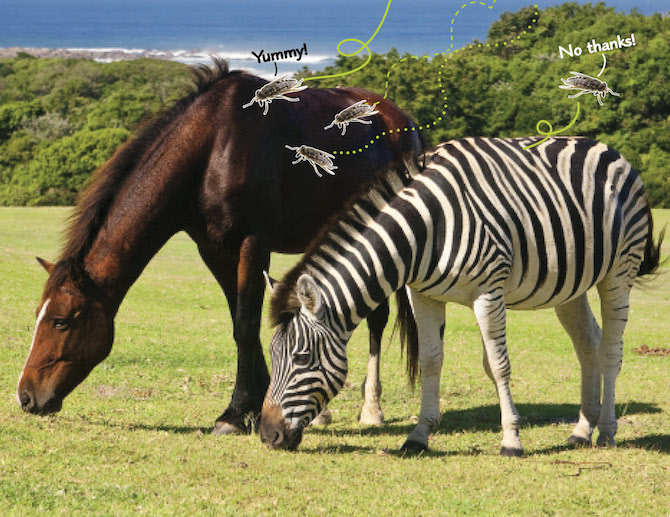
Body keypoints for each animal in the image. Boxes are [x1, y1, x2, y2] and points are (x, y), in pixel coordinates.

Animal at [17, 58, 420, 434]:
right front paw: (255, 405)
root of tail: (401, 121)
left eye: (61, 321)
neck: (211, 150)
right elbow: (237, 322)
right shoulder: (214, 251)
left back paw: (371, 408)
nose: (26, 396)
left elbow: (246, 324)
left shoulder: (252, 245)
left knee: (377, 319)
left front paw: (235, 414)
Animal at [260, 135, 664, 454]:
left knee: (611, 349)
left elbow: (499, 366)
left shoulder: (489, 292)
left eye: (302, 358)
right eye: (272, 355)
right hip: (569, 287)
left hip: (618, 271)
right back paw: (582, 430)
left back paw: (607, 432)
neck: (425, 229)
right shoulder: (422, 295)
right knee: (587, 343)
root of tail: (608, 149)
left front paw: (511, 440)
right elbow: (431, 361)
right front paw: (418, 436)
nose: (267, 435)